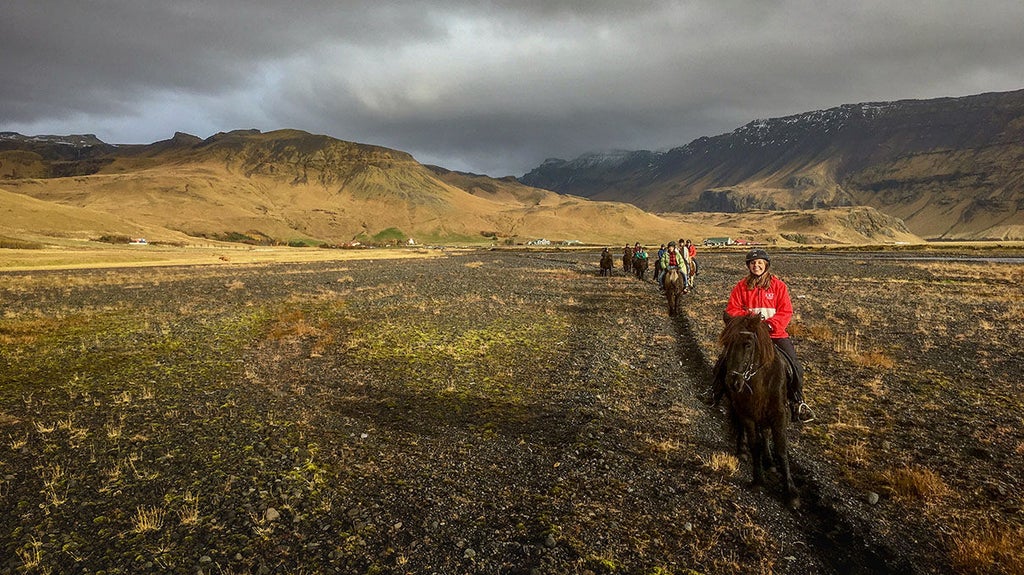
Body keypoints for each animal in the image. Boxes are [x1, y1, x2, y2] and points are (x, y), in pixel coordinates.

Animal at [720, 313, 798, 505]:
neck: (760, 379)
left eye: (748, 344)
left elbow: (781, 449)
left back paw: (769, 462)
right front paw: (758, 480)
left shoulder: (779, 414)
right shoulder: (746, 413)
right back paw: (742, 451)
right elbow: (754, 445)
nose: (732, 382)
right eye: (726, 343)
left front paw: (791, 493)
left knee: (766, 432)